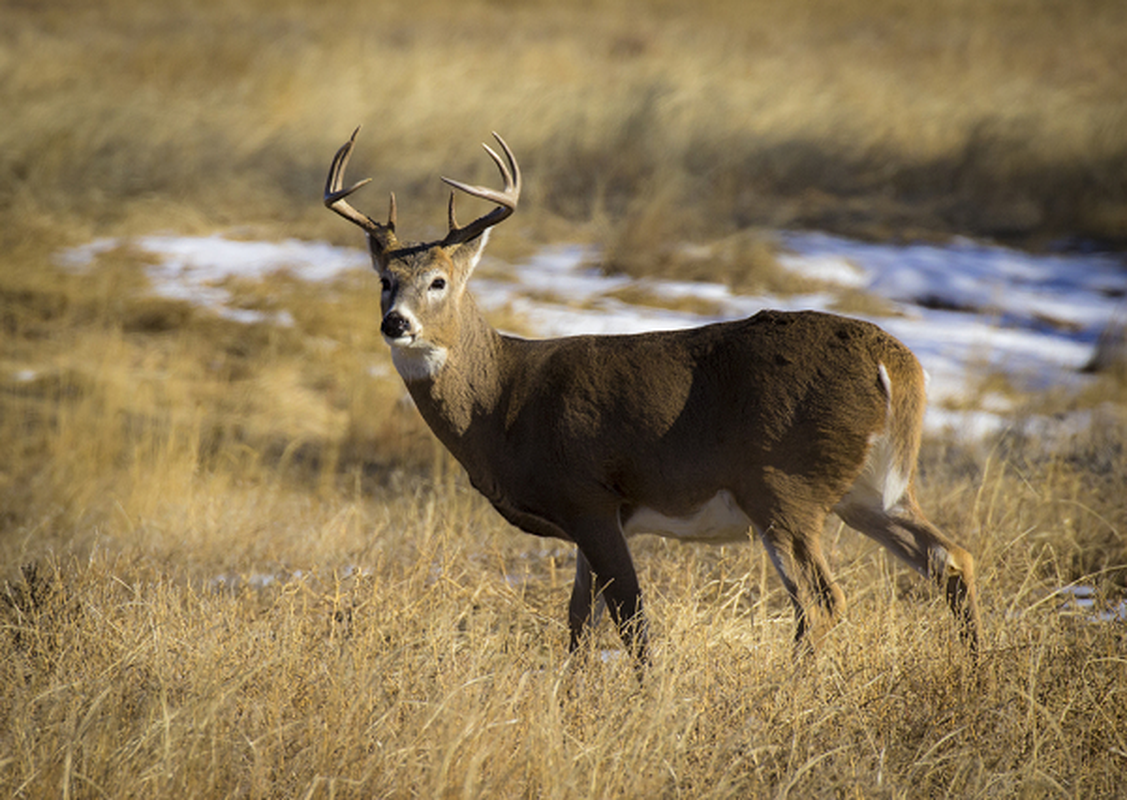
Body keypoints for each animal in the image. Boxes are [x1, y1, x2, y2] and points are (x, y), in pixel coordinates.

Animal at [322, 130, 982, 662]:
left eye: (438, 282)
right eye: (385, 281)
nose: (396, 323)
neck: (504, 401)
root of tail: (895, 363)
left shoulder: (588, 494)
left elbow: (632, 620)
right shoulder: (589, 519)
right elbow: (578, 625)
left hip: (781, 484)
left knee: (822, 599)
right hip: (868, 488)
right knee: (950, 558)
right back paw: (975, 669)